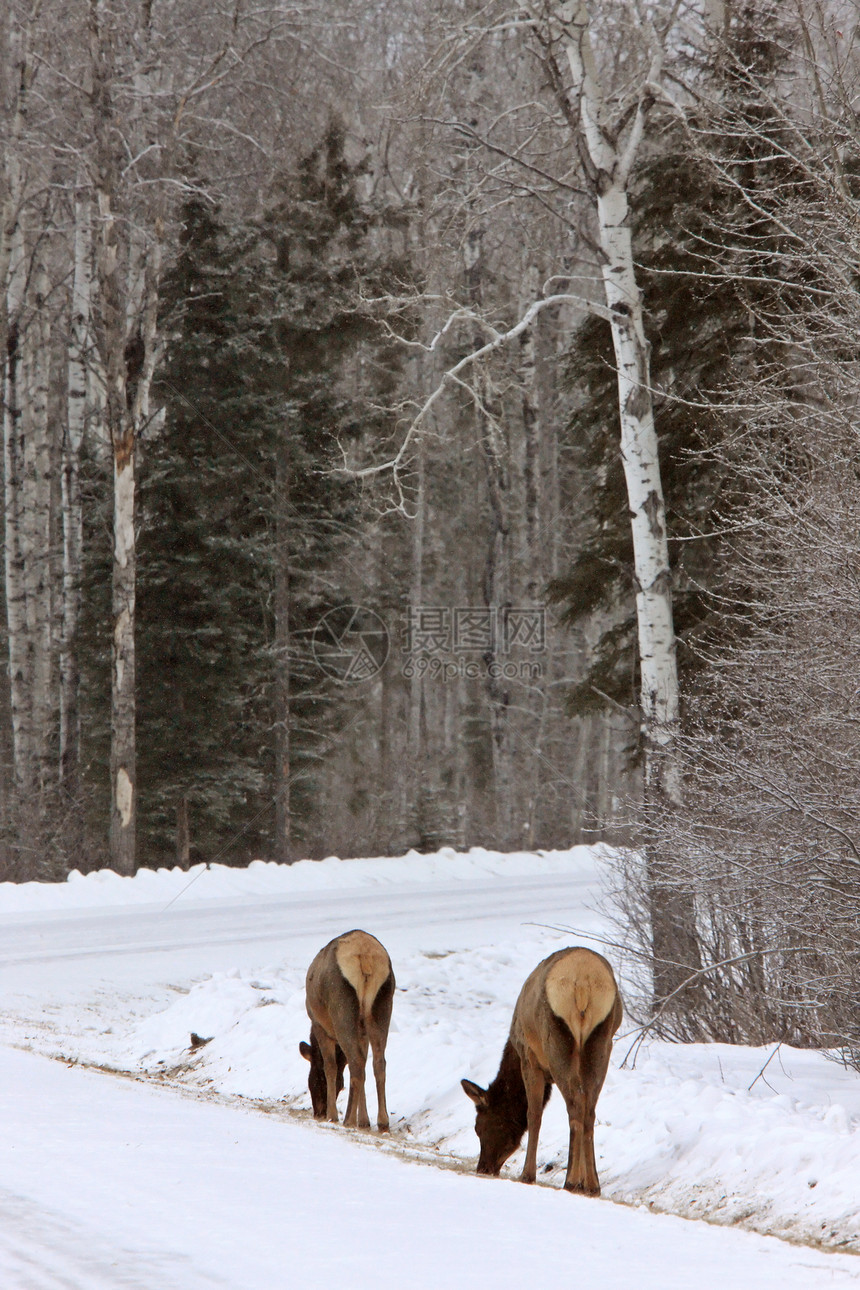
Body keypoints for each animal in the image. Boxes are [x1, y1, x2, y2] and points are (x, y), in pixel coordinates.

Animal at [299, 928, 394, 1130]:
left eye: (312, 1080)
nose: (318, 1112)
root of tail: (365, 956)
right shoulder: (362, 1031)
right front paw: (364, 1120)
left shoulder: (319, 1026)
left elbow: (330, 1066)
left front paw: (333, 1115)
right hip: (383, 1003)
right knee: (377, 1062)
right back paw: (382, 1121)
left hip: (341, 1005)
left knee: (356, 1061)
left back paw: (348, 1118)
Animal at [461, 944, 621, 1191]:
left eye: (478, 1127)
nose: (483, 1168)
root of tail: (584, 982)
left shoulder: (530, 1058)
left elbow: (533, 1114)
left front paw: (527, 1175)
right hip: (602, 1040)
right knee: (589, 1106)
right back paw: (592, 1184)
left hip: (556, 1039)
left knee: (575, 1102)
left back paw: (571, 1180)